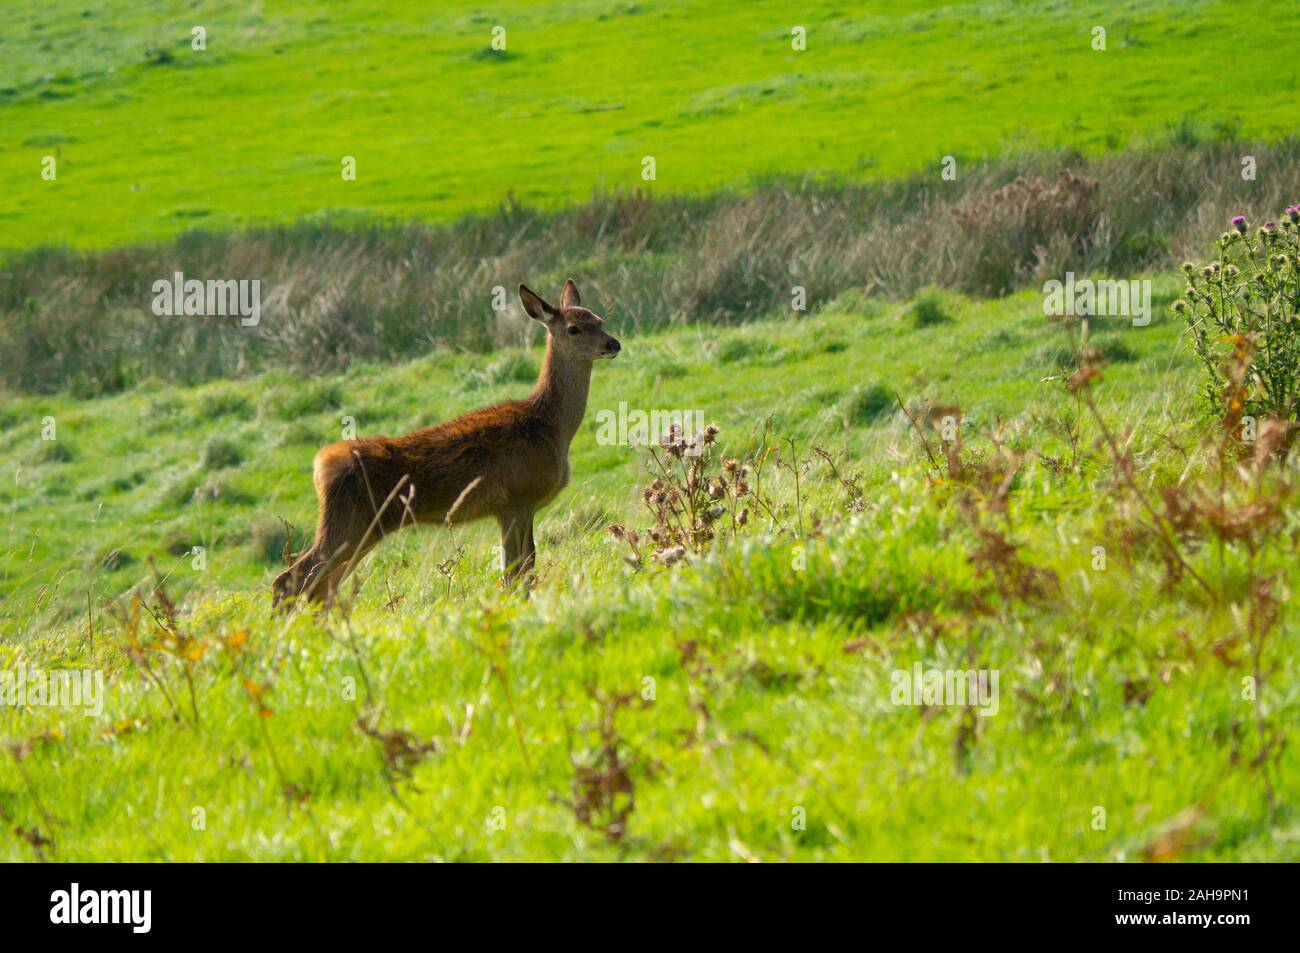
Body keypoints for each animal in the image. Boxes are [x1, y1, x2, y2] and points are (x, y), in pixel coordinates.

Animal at [272, 279, 620, 608]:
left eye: (599, 320)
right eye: (574, 328)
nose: (613, 343)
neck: (550, 428)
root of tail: (321, 466)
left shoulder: (521, 508)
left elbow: (526, 569)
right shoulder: (516, 500)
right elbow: (516, 573)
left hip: (364, 529)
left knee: (320, 588)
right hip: (349, 521)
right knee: (290, 579)